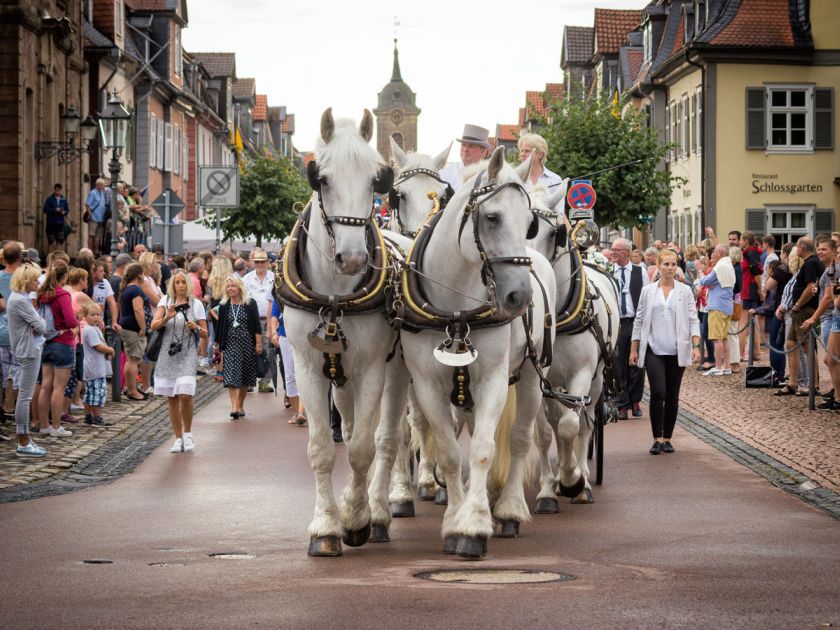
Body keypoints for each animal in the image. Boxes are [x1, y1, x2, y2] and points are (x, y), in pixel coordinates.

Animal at [280, 108, 398, 556]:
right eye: (323, 179)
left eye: (374, 180)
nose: (352, 259)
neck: (334, 295)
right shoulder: (308, 368)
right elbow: (322, 450)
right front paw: (326, 528)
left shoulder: (372, 369)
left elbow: (364, 448)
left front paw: (356, 519)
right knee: (346, 429)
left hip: (398, 374)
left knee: (387, 439)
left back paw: (379, 509)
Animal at [398, 147, 556, 556]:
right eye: (492, 217)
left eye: (530, 224)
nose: (519, 297)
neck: (456, 308)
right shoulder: (427, 384)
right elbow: (451, 452)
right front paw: (456, 519)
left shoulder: (493, 380)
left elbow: (484, 448)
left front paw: (474, 525)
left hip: (530, 376)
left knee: (520, 438)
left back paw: (509, 508)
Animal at [528, 185, 620, 512]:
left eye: (555, 233)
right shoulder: (538, 379)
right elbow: (545, 433)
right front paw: (548, 489)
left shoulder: (581, 374)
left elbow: (572, 426)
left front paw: (573, 481)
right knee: (558, 422)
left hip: (597, 381)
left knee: (586, 422)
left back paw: (583, 480)